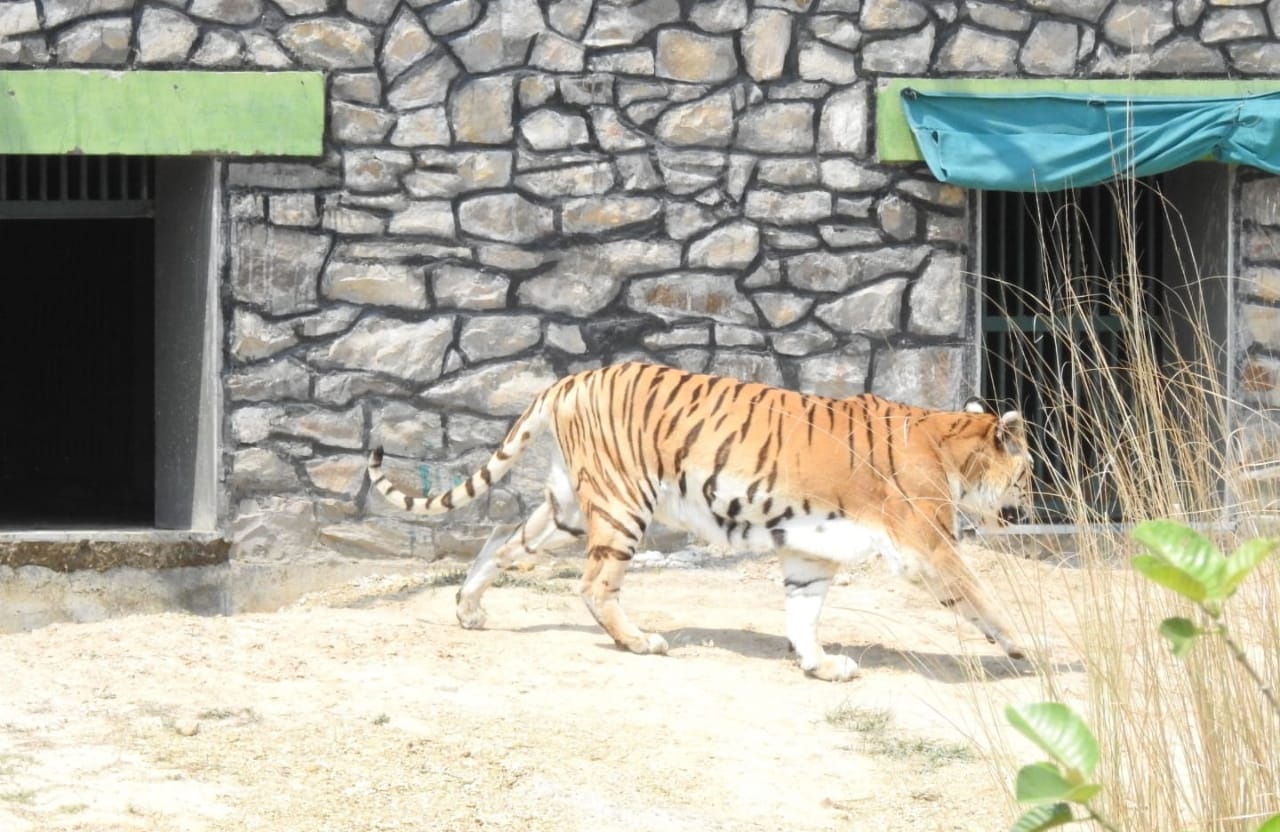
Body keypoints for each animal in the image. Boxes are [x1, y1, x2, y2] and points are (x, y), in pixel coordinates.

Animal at [366, 361, 1032, 682]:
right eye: (1025, 473)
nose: (1027, 508)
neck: (951, 445)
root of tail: (570, 379)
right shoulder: (927, 542)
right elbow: (982, 594)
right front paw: (1029, 648)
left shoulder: (811, 552)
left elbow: (803, 615)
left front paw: (820, 667)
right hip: (621, 503)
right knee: (594, 585)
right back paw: (640, 641)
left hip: (570, 509)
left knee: (502, 544)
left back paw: (469, 609)